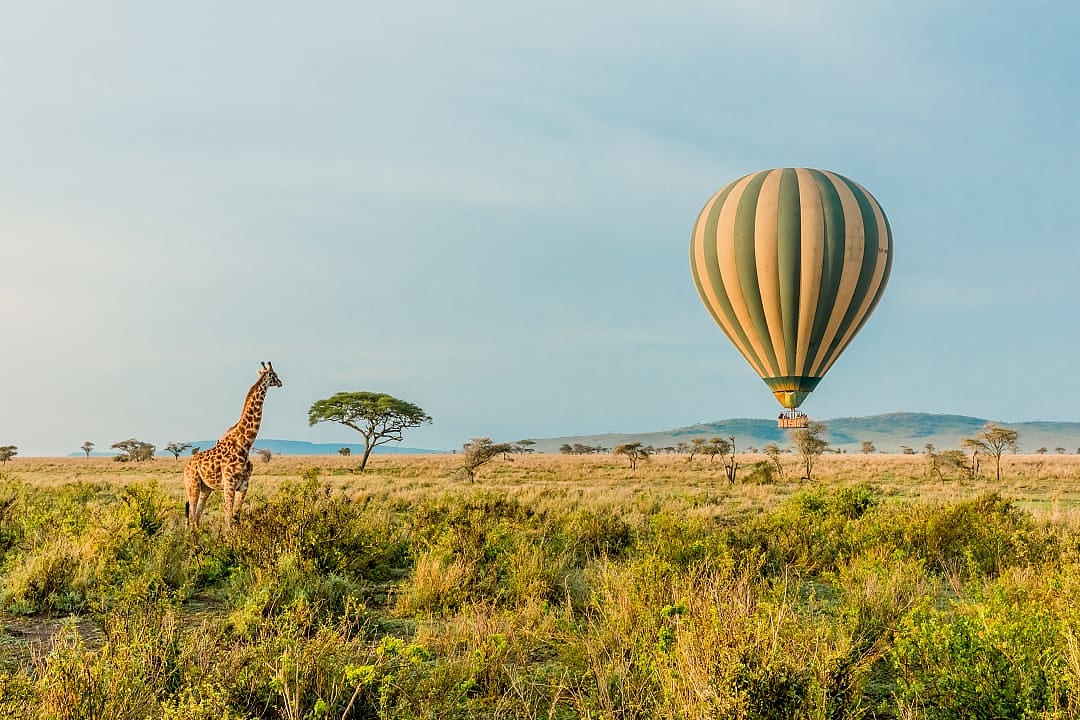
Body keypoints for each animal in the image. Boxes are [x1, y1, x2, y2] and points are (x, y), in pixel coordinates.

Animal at [185, 361, 282, 530]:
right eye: (275, 374)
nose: (281, 382)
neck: (245, 444)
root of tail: (185, 468)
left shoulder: (244, 485)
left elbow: (236, 517)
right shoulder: (229, 484)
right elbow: (228, 518)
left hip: (206, 489)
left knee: (196, 517)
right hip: (193, 485)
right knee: (191, 518)